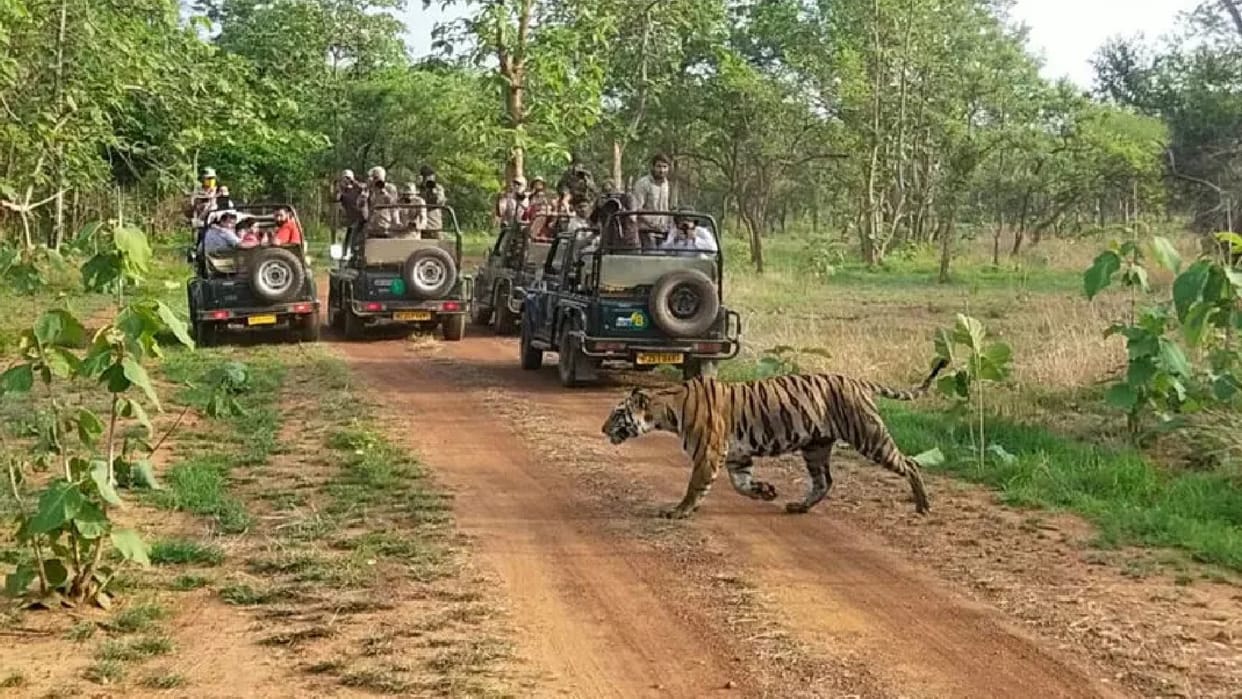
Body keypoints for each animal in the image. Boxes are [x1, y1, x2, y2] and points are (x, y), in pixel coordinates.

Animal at [600, 358, 948, 519]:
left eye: (617, 414)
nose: (603, 430)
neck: (666, 410)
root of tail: (856, 380)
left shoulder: (708, 454)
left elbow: (694, 487)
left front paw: (678, 512)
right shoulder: (737, 455)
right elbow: (741, 484)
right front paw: (766, 491)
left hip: (869, 435)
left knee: (911, 464)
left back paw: (923, 506)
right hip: (816, 447)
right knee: (824, 481)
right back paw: (798, 506)